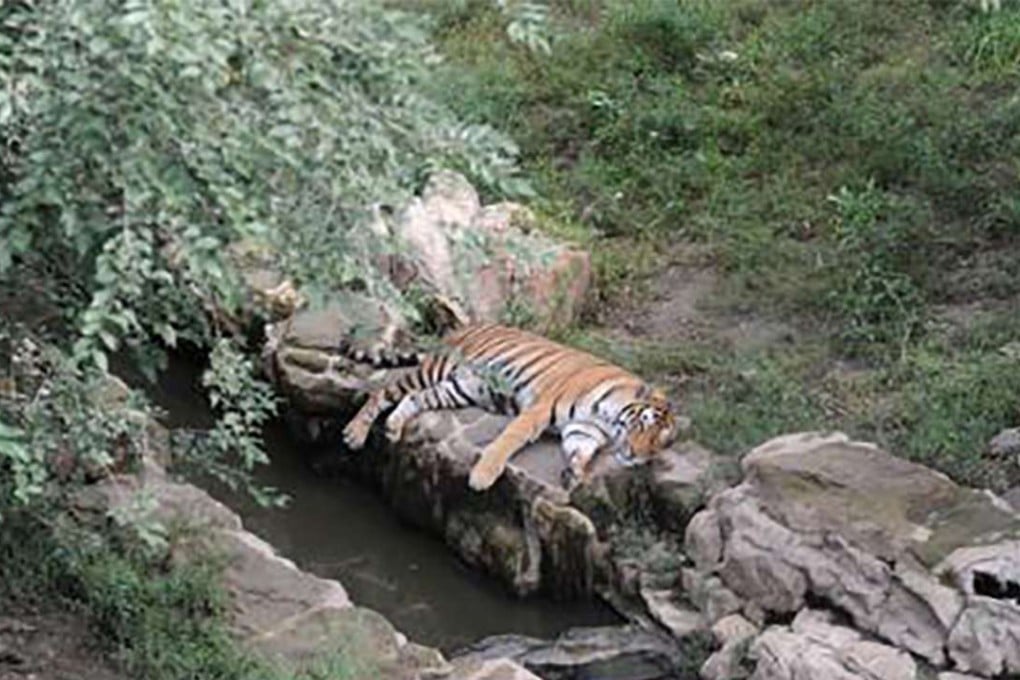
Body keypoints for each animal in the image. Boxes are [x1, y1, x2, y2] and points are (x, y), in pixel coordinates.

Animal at [340, 323, 680, 492]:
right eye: (644, 425)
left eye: (657, 445)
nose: (635, 456)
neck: (610, 419)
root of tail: (456, 330)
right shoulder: (539, 409)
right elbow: (508, 440)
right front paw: (482, 476)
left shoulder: (584, 430)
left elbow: (579, 451)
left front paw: (575, 474)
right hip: (436, 370)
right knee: (382, 393)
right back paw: (355, 434)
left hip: (460, 388)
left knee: (413, 399)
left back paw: (394, 427)